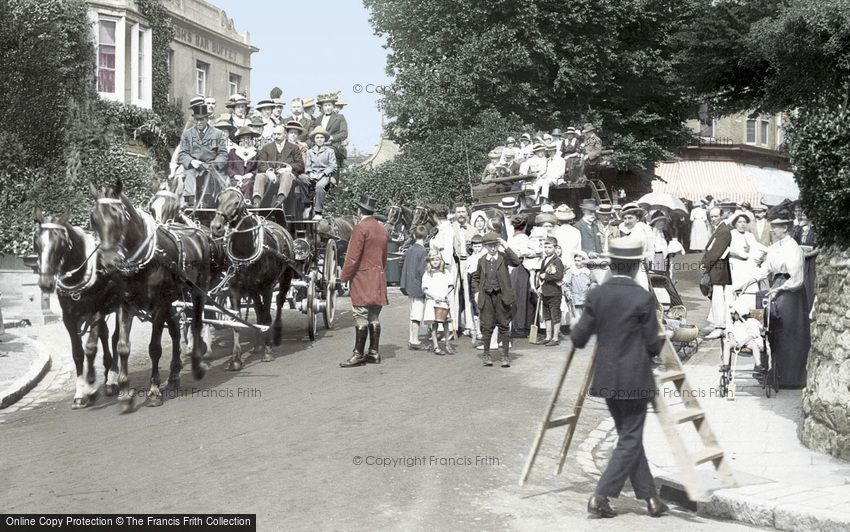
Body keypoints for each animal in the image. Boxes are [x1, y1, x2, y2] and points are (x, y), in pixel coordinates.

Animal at [33, 208, 119, 408]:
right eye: (36, 243)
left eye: (61, 244)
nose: (46, 284)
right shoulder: (70, 318)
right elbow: (78, 353)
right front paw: (81, 392)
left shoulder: (96, 311)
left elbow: (90, 348)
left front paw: (91, 384)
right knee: (105, 335)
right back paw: (107, 370)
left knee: (115, 338)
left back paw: (112, 379)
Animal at [88, 180, 210, 412]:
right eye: (93, 219)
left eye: (119, 217)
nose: (108, 263)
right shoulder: (125, 304)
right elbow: (122, 346)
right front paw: (125, 394)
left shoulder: (160, 304)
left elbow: (154, 348)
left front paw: (153, 391)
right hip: (173, 300)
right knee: (175, 331)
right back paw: (174, 374)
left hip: (197, 291)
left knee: (197, 323)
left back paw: (197, 365)